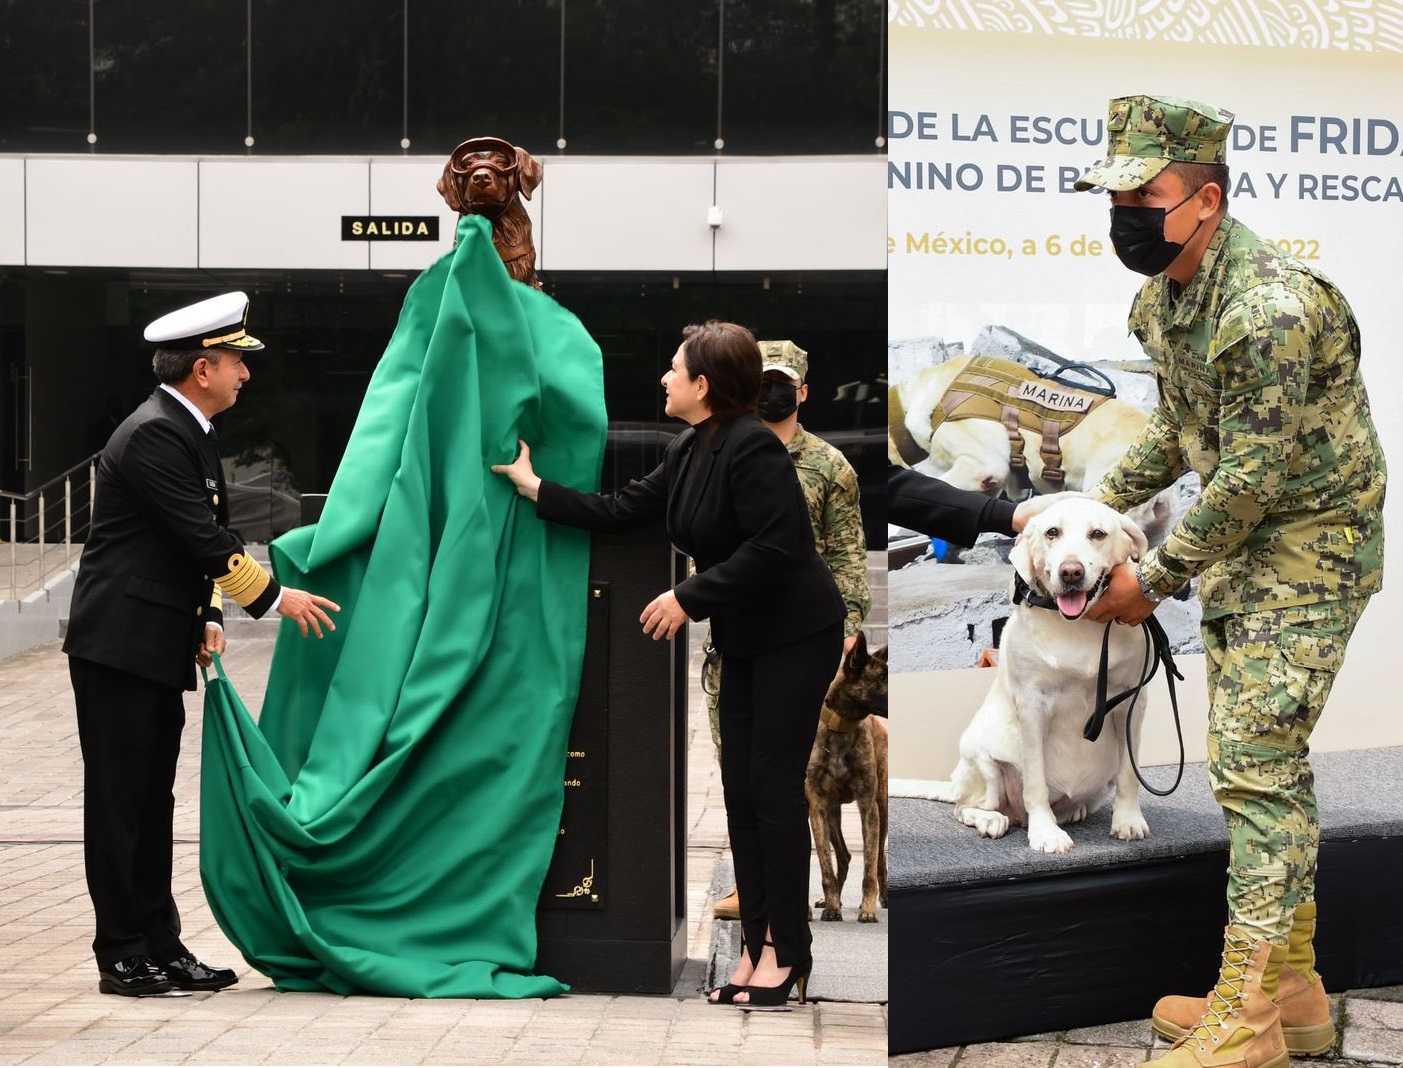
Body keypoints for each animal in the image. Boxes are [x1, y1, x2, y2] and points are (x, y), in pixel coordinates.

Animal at [909, 496, 1150, 853]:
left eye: (1097, 534)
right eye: (1052, 532)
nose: (1071, 572)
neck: (1079, 627)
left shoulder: (1131, 702)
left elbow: (1129, 775)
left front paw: (1128, 820)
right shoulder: (1033, 706)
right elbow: (1035, 784)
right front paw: (1046, 833)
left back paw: (1072, 811)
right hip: (981, 758)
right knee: (965, 807)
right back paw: (992, 819)